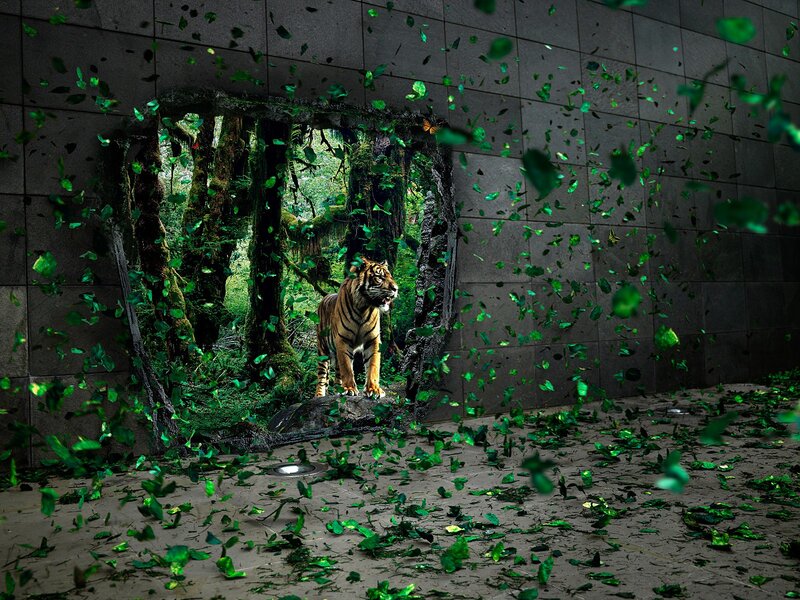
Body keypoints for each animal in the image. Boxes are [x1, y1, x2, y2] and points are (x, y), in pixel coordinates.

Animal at [315, 257, 399, 398]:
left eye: (390, 276)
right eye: (379, 277)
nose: (396, 289)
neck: (363, 307)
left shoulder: (373, 340)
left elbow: (373, 365)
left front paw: (374, 389)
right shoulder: (343, 339)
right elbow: (347, 367)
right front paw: (349, 389)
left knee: (337, 373)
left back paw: (338, 388)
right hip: (323, 350)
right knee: (322, 376)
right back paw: (320, 395)